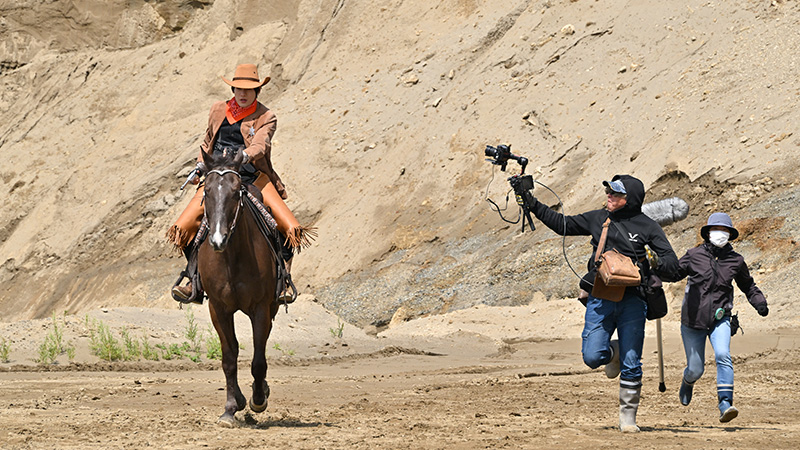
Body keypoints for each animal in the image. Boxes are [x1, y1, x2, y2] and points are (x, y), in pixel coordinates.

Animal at [197, 147, 282, 426]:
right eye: (206, 191)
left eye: (236, 192)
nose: (218, 240)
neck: (231, 258)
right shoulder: (218, 308)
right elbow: (229, 357)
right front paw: (232, 407)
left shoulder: (261, 308)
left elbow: (258, 360)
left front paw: (257, 400)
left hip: (272, 307)